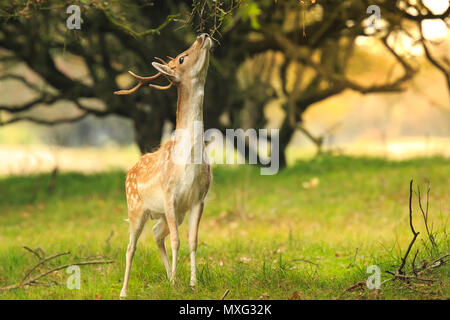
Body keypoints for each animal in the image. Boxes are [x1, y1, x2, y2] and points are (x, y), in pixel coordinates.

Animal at [113, 33, 214, 298]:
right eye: (181, 58)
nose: (203, 35)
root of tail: (129, 172)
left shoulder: (198, 198)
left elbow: (192, 241)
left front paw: (192, 283)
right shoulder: (169, 194)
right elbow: (177, 241)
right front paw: (177, 284)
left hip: (171, 214)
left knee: (157, 233)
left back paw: (171, 278)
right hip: (135, 207)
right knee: (131, 246)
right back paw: (125, 291)